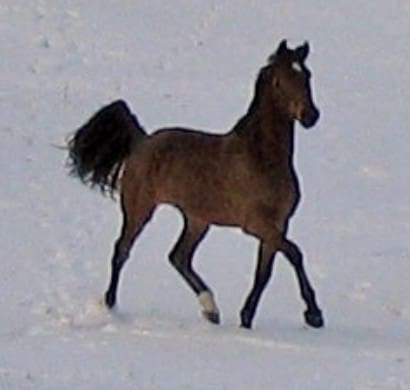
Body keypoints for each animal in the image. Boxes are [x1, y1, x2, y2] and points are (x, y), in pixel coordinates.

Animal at [66, 40, 324, 330]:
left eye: (307, 75)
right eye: (281, 81)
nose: (311, 116)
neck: (261, 158)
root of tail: (141, 140)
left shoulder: (278, 224)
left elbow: (264, 273)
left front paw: (246, 319)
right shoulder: (256, 224)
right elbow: (294, 253)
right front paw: (314, 314)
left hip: (197, 219)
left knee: (178, 256)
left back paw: (211, 310)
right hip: (139, 209)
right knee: (122, 250)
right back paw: (110, 304)